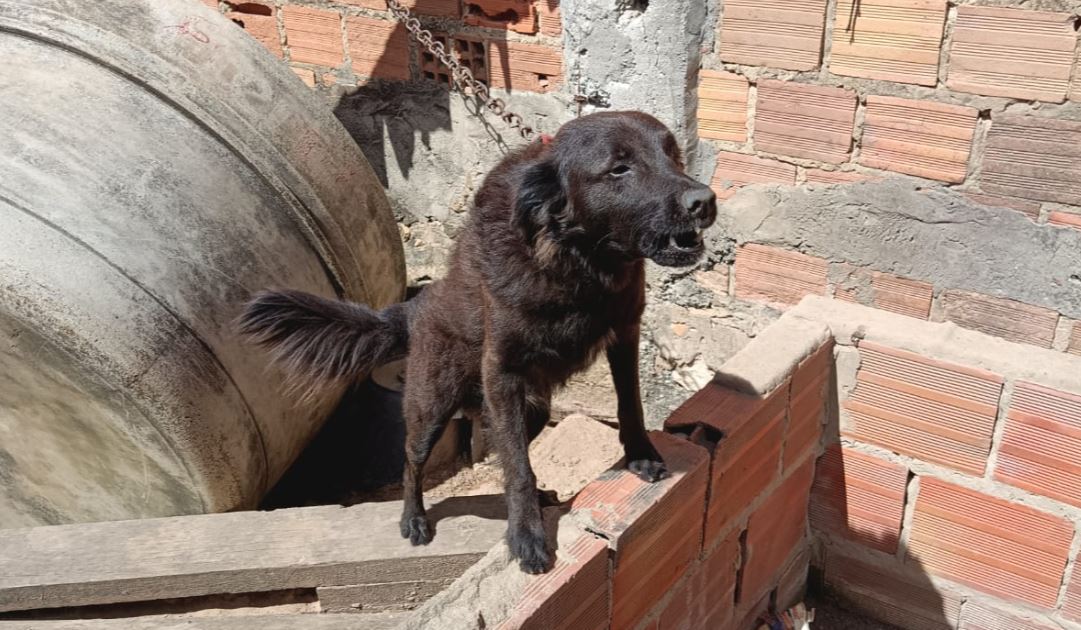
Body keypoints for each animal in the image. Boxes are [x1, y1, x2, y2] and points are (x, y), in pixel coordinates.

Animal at [237, 110, 717, 574]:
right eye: (619, 168)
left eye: (673, 155)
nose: (704, 201)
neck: (577, 265)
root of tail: (416, 307)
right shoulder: (501, 370)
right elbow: (518, 469)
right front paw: (526, 535)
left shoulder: (624, 333)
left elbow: (628, 405)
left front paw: (641, 455)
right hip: (432, 406)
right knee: (413, 462)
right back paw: (414, 518)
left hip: (529, 409)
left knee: (504, 446)